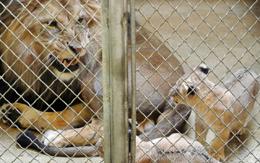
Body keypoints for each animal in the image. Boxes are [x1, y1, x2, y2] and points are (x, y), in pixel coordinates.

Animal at [0, 0, 187, 157]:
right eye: (52, 24)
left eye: (80, 20)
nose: (78, 48)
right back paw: (15, 113)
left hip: (97, 78)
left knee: (102, 126)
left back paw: (53, 136)